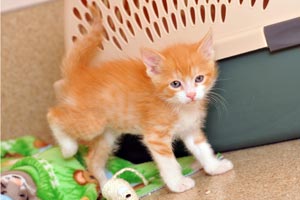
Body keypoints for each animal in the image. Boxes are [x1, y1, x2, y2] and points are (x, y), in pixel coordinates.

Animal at [48, 7, 233, 192]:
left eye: (199, 79)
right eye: (175, 84)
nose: (191, 95)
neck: (180, 106)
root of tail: (79, 75)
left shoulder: (190, 129)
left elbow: (203, 148)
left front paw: (214, 167)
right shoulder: (156, 136)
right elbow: (168, 163)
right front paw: (177, 183)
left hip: (107, 134)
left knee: (92, 160)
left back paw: (107, 185)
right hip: (92, 123)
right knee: (53, 114)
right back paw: (67, 148)